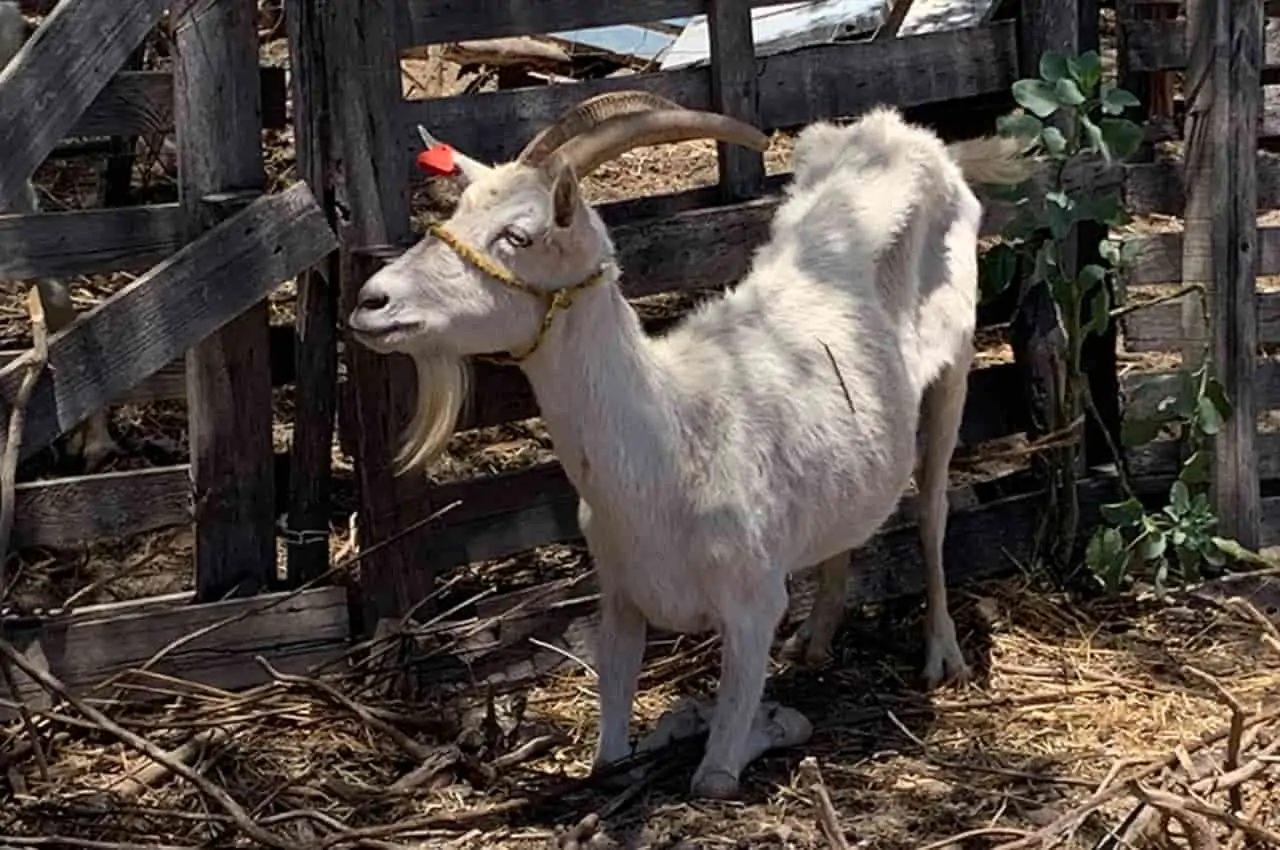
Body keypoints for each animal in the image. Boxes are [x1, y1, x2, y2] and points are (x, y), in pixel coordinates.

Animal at [347, 92, 1036, 799]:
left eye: (519, 235)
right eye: (456, 212)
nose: (373, 300)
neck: (672, 440)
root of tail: (913, 136)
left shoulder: (753, 603)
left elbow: (713, 780)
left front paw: (767, 724)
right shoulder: (620, 596)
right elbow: (610, 759)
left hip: (955, 362)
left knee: (932, 507)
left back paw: (941, 653)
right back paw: (816, 638)